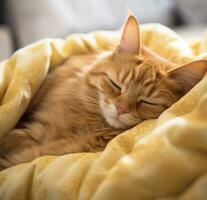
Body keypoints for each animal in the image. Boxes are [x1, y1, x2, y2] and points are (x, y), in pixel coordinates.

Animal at [0, 14, 207, 170]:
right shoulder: (35, 130)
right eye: (116, 85)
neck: (91, 125)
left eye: (148, 102)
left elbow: (17, 158)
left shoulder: (47, 149)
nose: (121, 109)